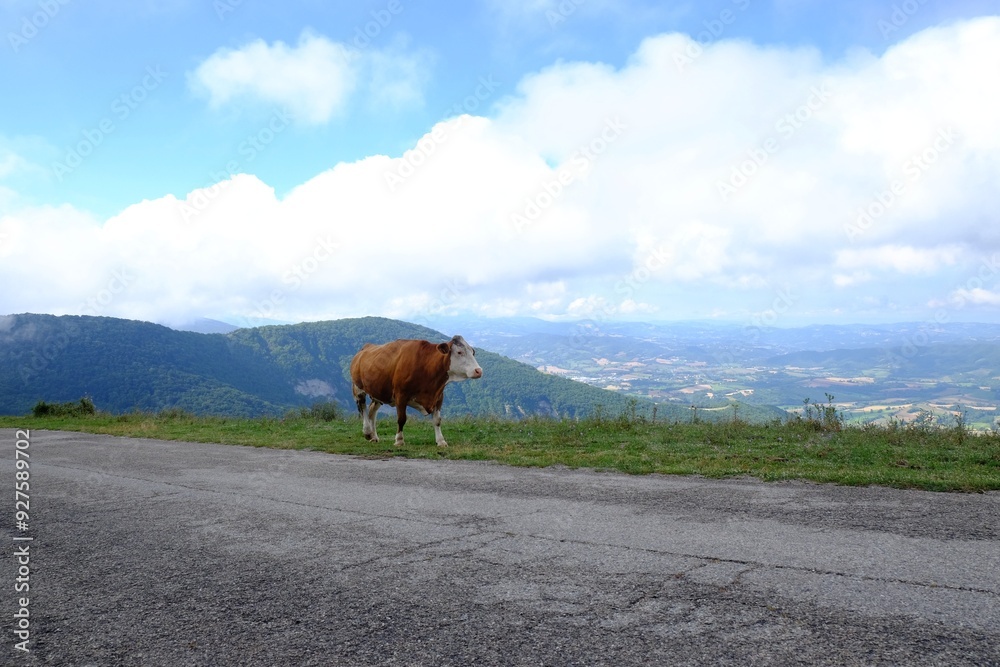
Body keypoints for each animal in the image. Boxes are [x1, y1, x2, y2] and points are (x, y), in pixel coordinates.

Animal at [349, 335, 483, 447]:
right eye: (460, 352)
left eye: (473, 352)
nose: (478, 370)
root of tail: (365, 347)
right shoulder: (401, 395)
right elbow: (401, 419)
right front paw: (399, 440)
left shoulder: (439, 396)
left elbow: (437, 420)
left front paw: (441, 441)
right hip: (358, 387)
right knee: (363, 408)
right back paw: (367, 432)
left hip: (379, 391)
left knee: (372, 410)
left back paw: (374, 436)